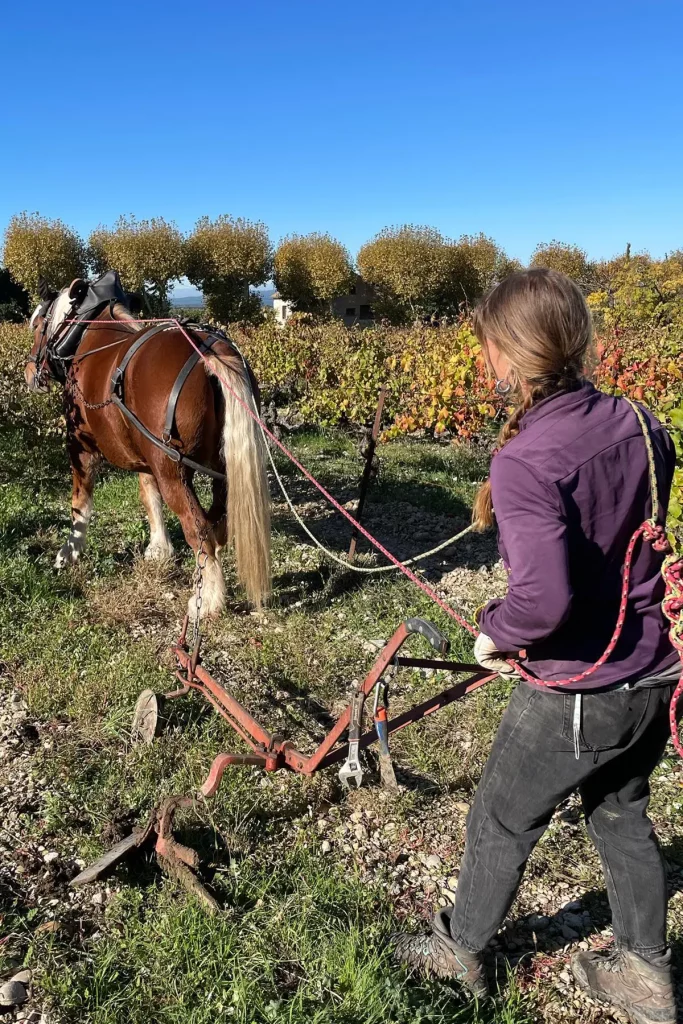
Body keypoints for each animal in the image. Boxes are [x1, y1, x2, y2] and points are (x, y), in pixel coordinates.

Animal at [26, 278, 272, 614]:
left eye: (38, 324)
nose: (29, 373)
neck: (85, 337)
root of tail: (210, 351)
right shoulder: (143, 452)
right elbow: (149, 495)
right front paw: (159, 547)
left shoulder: (80, 443)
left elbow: (80, 500)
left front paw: (70, 551)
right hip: (218, 464)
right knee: (217, 516)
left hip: (172, 470)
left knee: (199, 528)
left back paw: (207, 599)